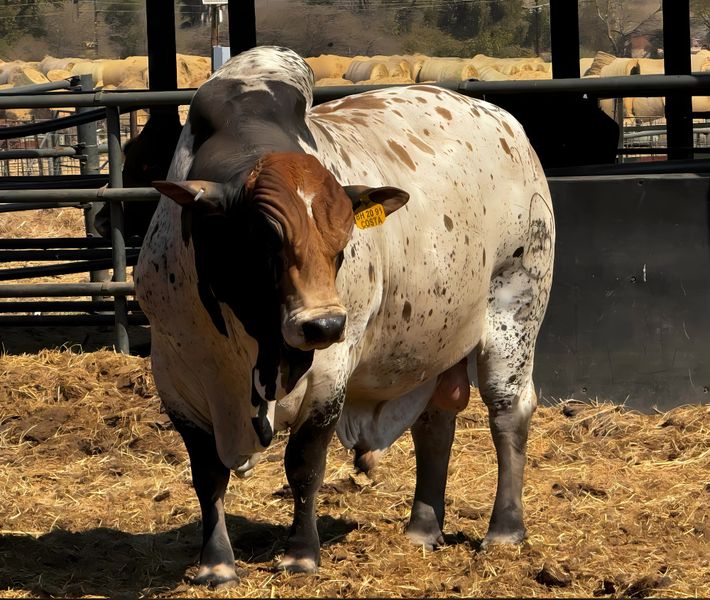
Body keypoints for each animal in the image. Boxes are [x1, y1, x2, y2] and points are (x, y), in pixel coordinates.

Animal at [134, 46, 555, 586]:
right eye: (264, 239)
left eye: (342, 242)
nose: (323, 325)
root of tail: (504, 122)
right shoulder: (175, 373)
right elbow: (207, 473)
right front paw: (216, 563)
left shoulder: (329, 375)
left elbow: (304, 463)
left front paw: (301, 554)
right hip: (433, 342)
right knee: (435, 421)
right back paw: (423, 528)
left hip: (516, 310)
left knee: (508, 413)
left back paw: (503, 530)